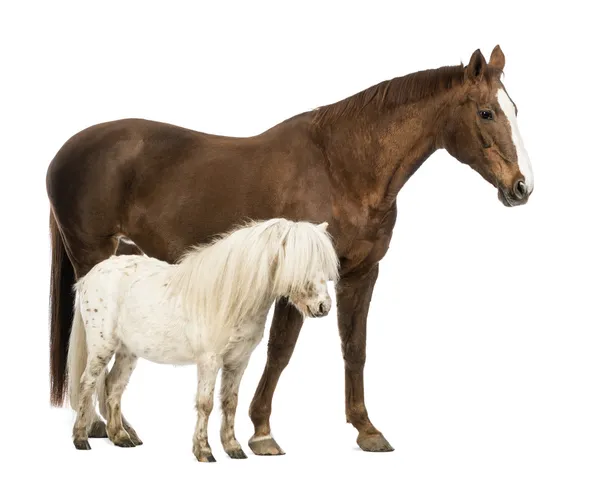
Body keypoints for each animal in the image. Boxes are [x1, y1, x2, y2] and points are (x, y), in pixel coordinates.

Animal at [66, 217, 340, 462]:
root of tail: (89, 276)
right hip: (102, 347)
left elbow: (230, 403)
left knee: (114, 386)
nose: (323, 306)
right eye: (300, 263)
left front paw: (233, 448)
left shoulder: (237, 362)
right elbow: (205, 403)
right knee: (87, 383)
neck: (229, 297)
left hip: (128, 351)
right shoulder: (209, 360)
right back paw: (80, 439)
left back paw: (121, 438)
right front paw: (204, 451)